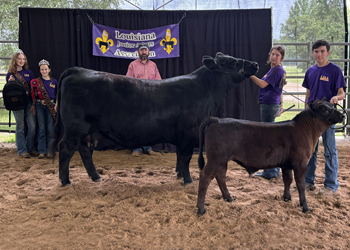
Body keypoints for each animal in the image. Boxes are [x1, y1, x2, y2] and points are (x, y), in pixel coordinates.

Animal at [49, 52, 258, 186]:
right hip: (75, 128)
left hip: (87, 131)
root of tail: (78, 70)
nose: (254, 64)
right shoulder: (189, 134)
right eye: (230, 62)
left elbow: (180, 157)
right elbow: (185, 158)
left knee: (85, 151)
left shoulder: (183, 137)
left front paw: (179, 176)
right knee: (66, 148)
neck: (206, 91)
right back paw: (65, 181)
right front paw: (188, 180)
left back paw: (96, 177)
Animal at [197, 99, 344, 215]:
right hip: (216, 159)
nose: (342, 115)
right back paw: (200, 209)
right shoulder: (301, 163)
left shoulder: (286, 164)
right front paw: (305, 207)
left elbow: (288, 180)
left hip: (222, 161)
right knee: (205, 176)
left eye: (331, 105)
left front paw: (287, 198)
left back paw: (228, 198)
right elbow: (300, 184)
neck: (306, 130)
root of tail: (217, 120)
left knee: (220, 177)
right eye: (324, 109)